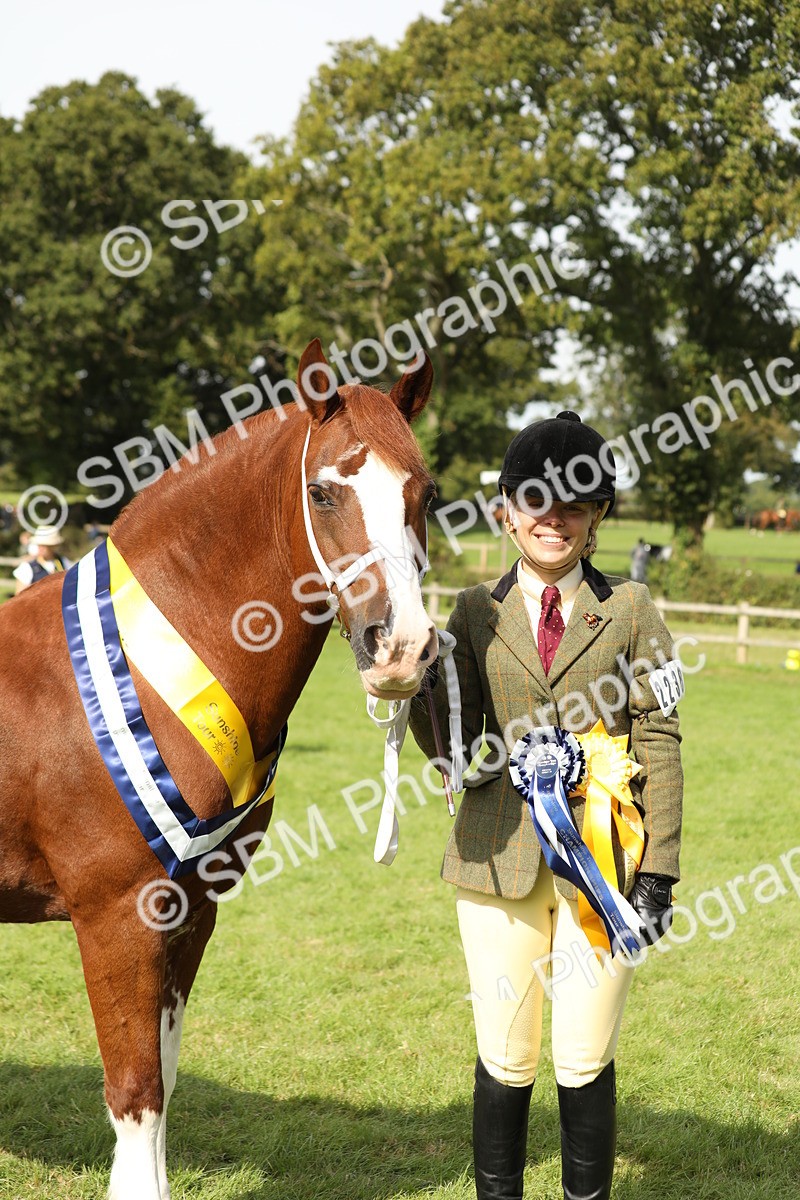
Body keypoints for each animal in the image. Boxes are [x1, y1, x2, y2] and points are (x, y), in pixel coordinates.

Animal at [0, 340, 438, 1199]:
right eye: (321, 492)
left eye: (425, 492)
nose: (400, 647)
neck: (148, 672)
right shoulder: (119, 916)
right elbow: (134, 1088)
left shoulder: (193, 908)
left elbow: (164, 1078)